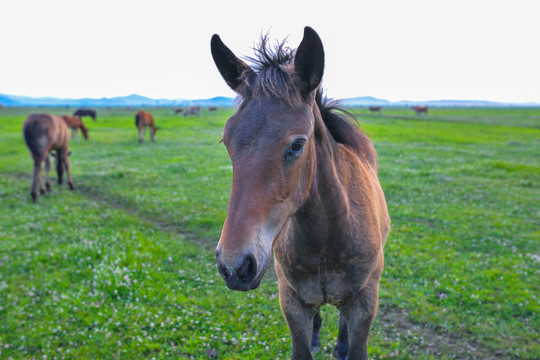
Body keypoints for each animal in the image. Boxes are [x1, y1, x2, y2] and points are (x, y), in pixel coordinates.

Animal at [209, 26, 390, 360]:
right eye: (227, 141)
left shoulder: (364, 304)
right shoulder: (292, 303)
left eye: (297, 145)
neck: (328, 239)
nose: (234, 266)